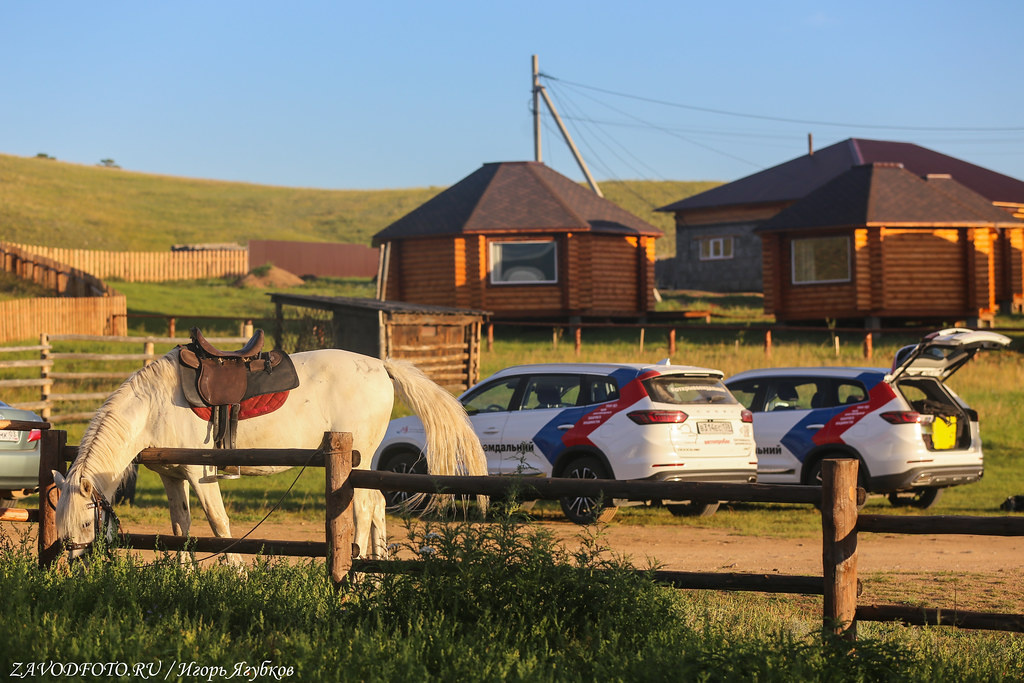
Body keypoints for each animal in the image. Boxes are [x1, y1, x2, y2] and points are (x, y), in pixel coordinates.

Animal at [51, 350, 487, 565]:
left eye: (88, 520)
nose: (75, 564)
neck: (153, 406)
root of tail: (382, 365)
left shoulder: (200, 476)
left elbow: (220, 527)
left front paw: (236, 575)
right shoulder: (173, 478)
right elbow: (181, 531)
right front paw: (184, 575)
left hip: (357, 462)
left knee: (363, 510)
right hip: (364, 465)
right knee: (378, 505)